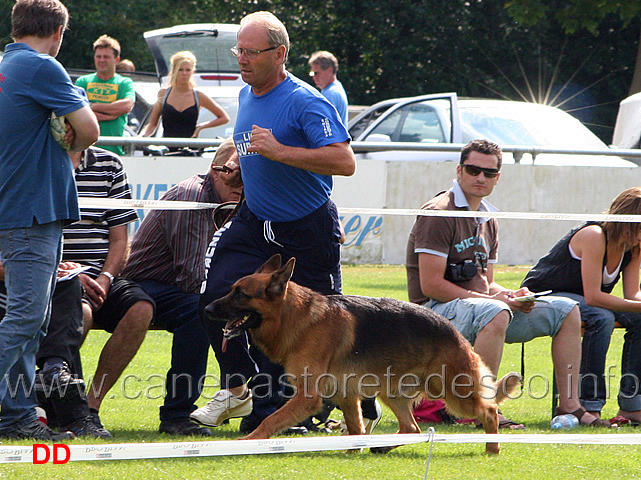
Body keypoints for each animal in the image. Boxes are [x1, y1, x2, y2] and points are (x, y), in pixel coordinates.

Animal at [205, 255, 520, 454]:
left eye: (240, 294)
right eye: (231, 290)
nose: (206, 309)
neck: (297, 316)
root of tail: (453, 330)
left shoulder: (308, 396)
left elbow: (270, 420)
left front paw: (248, 441)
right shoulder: (346, 394)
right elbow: (356, 428)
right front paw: (353, 449)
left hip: (451, 392)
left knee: (488, 411)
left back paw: (493, 448)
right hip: (393, 392)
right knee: (413, 429)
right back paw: (382, 445)